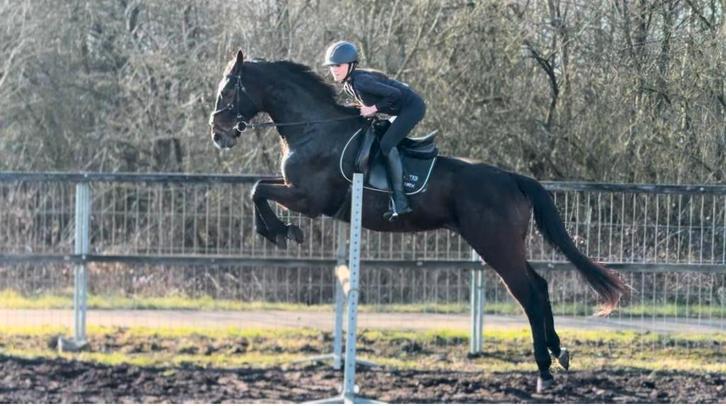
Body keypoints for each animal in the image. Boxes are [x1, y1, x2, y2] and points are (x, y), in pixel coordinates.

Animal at [209, 50, 628, 393]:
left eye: (228, 89)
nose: (218, 134)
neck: (314, 128)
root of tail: (512, 178)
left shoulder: (309, 199)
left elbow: (257, 191)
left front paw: (281, 232)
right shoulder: (294, 188)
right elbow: (258, 187)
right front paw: (278, 231)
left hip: (495, 246)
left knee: (527, 293)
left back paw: (543, 369)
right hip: (504, 245)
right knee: (539, 286)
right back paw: (558, 352)